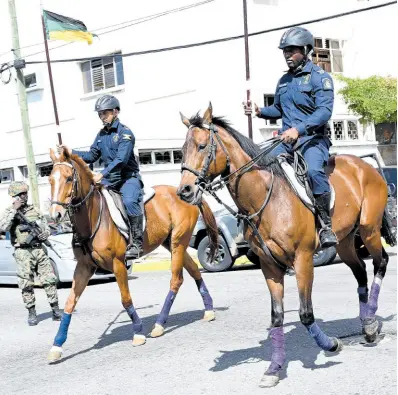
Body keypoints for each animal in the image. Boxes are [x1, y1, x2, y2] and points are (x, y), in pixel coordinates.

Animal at [47, 147, 219, 364]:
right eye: (50, 179)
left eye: (69, 178)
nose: (54, 215)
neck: (92, 218)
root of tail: (184, 192)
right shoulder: (84, 267)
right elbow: (70, 303)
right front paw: (57, 345)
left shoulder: (118, 263)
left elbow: (125, 298)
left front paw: (137, 332)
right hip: (171, 243)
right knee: (194, 270)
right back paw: (208, 309)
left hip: (178, 242)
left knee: (176, 279)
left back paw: (159, 324)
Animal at [178, 103, 392, 388]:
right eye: (182, 150)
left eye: (202, 146)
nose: (185, 191)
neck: (266, 197)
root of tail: (365, 165)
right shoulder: (269, 266)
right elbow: (277, 316)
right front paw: (274, 368)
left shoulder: (303, 260)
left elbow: (305, 313)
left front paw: (331, 345)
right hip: (346, 242)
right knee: (360, 274)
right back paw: (367, 323)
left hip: (369, 230)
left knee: (381, 263)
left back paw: (370, 322)